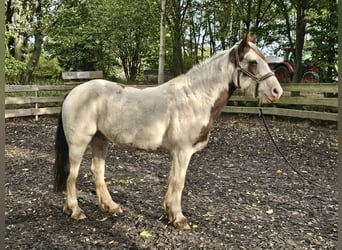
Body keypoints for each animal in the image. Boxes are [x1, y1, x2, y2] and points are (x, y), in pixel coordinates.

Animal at [54, 32, 284, 229]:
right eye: (253, 62)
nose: (277, 91)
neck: (195, 97)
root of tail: (73, 92)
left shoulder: (178, 153)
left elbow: (173, 180)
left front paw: (170, 213)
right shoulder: (183, 151)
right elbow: (179, 182)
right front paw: (179, 218)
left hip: (101, 140)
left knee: (97, 171)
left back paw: (110, 207)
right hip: (78, 144)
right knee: (72, 175)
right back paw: (75, 210)